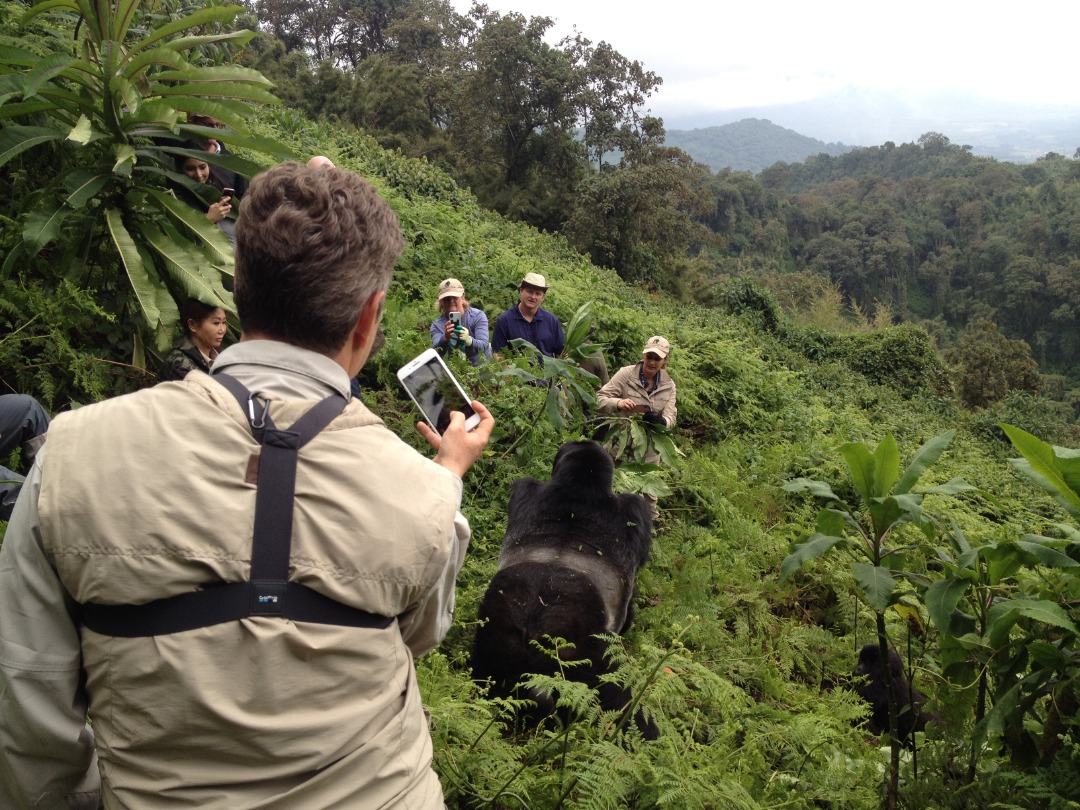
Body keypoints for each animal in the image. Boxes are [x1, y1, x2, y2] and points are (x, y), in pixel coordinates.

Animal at [475, 440, 656, 738]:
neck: (580, 485)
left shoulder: (526, 490)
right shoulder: (634, 511)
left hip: (496, 628)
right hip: (584, 650)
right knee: (619, 695)